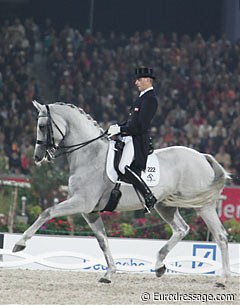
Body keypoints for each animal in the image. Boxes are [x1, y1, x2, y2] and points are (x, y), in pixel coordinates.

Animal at [13, 100, 231, 282]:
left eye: (42, 126)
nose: (38, 157)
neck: (89, 155)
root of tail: (203, 156)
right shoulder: (89, 211)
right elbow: (102, 240)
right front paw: (109, 273)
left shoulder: (81, 202)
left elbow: (47, 212)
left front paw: (20, 244)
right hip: (165, 205)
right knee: (182, 229)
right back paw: (160, 266)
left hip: (202, 205)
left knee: (219, 235)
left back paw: (223, 279)